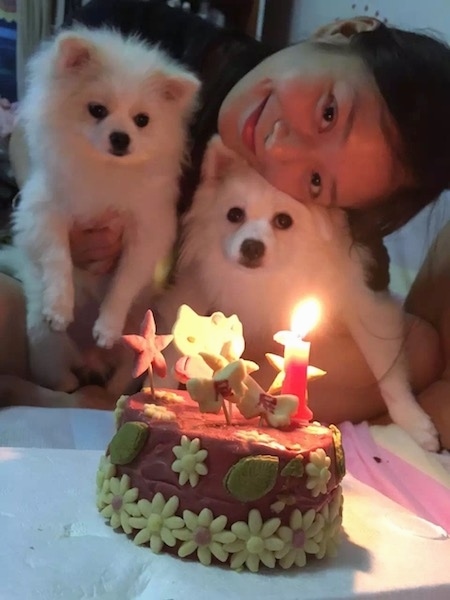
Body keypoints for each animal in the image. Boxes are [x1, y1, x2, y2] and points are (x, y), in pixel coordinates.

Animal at [0, 27, 199, 394]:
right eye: (97, 110)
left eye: (142, 120)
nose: (121, 137)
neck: (106, 169)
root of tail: (88, 361)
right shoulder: (45, 212)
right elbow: (58, 258)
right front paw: (59, 305)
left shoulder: (146, 232)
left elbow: (125, 280)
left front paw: (107, 326)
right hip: (47, 344)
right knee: (57, 372)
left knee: (120, 381)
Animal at [156, 134, 440, 448]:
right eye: (234, 214)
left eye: (284, 221)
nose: (252, 246)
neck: (270, 277)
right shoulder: (194, 290)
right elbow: (175, 344)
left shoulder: (364, 305)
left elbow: (387, 370)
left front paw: (415, 424)